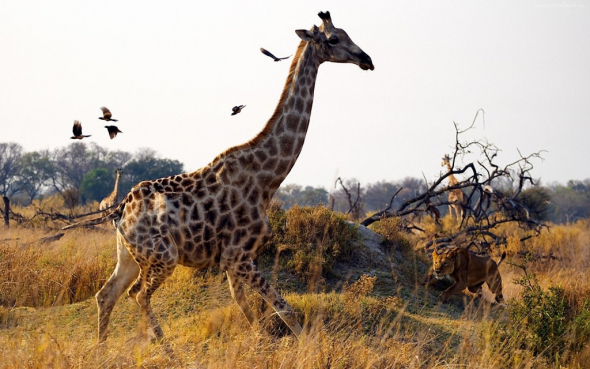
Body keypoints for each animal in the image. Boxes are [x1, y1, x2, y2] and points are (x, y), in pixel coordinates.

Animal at [62, 9, 372, 342]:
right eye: (334, 38)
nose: (367, 59)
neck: (268, 177)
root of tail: (120, 211)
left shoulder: (235, 259)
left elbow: (248, 308)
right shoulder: (238, 255)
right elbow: (283, 308)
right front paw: (305, 347)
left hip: (129, 255)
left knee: (107, 294)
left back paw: (101, 348)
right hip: (162, 255)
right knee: (138, 294)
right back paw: (166, 348)